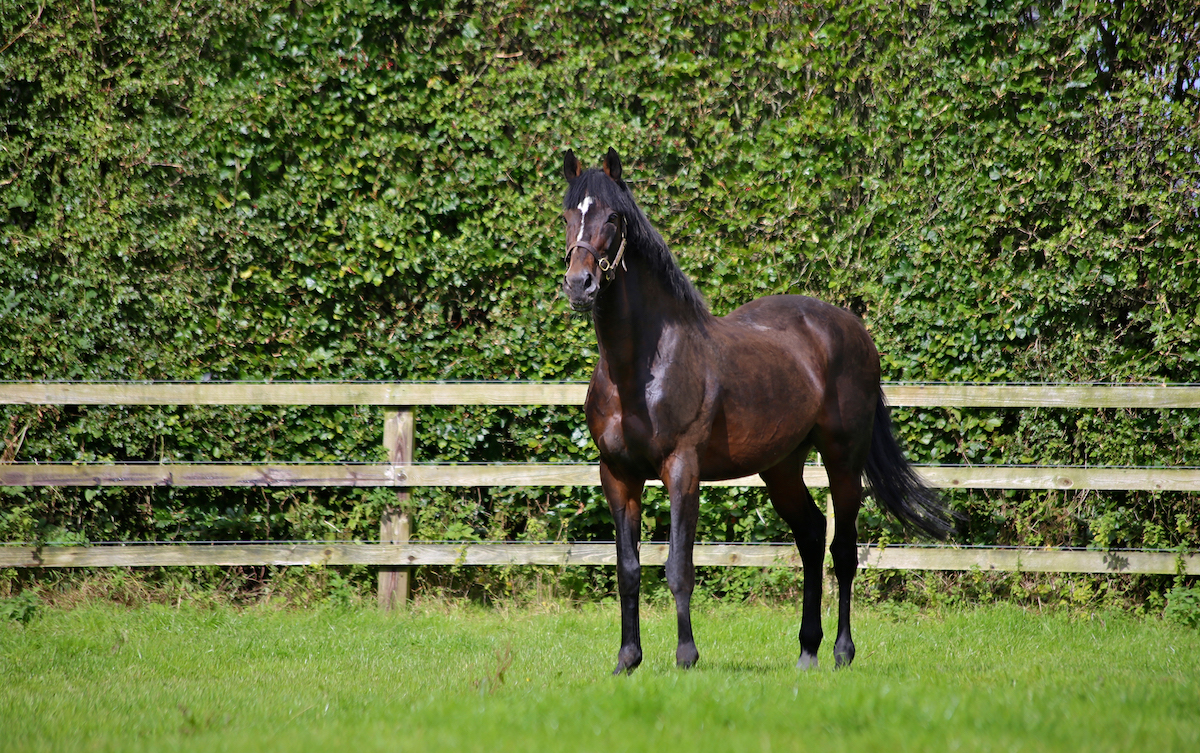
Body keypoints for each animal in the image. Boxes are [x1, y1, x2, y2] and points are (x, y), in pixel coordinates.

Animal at [556, 146, 950, 676]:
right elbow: (628, 569)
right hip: (780, 467)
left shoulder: (682, 468)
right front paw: (627, 660)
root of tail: (852, 329)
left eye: (613, 219)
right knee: (811, 534)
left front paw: (686, 657)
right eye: (567, 216)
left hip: (843, 458)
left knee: (843, 550)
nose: (580, 285)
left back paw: (842, 652)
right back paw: (807, 650)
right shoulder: (617, 474)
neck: (639, 369)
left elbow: (679, 567)